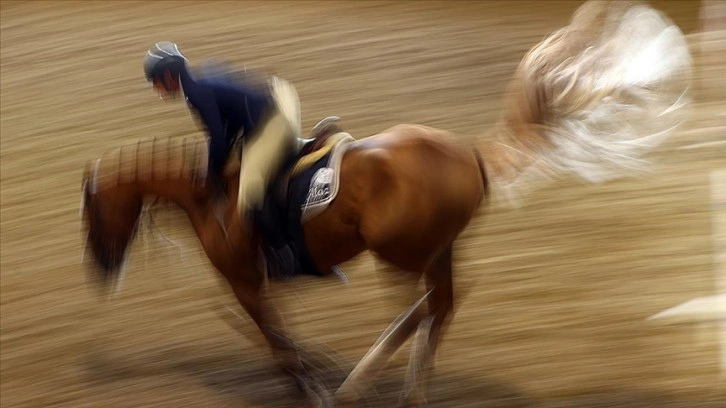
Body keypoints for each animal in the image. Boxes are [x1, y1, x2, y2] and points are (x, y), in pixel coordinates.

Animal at [78, 1, 692, 406]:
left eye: (91, 216)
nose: (100, 271)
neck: (208, 200)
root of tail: (469, 153)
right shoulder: (250, 284)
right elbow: (272, 335)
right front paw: (317, 372)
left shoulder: (245, 280)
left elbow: (274, 339)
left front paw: (313, 386)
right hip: (434, 247)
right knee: (443, 302)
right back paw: (404, 387)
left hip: (398, 251)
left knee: (425, 304)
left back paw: (365, 382)